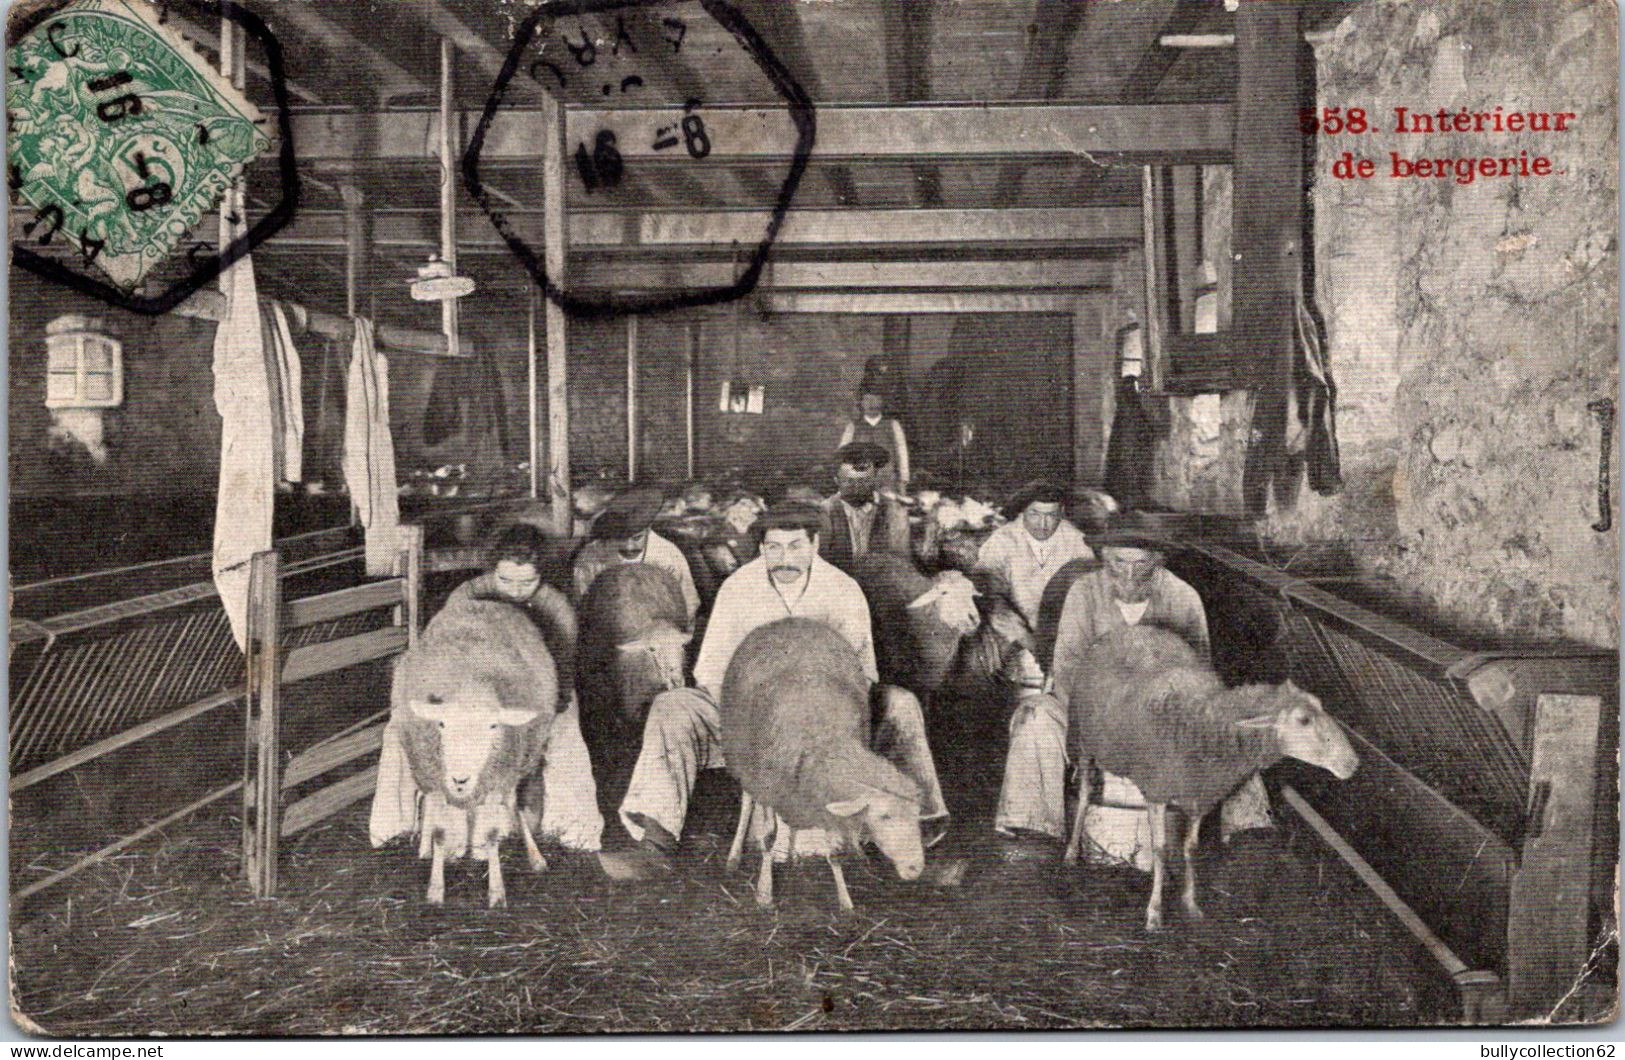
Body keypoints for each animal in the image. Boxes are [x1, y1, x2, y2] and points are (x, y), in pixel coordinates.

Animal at [388, 601, 559, 903]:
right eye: (442, 724)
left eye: (493, 726)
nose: (460, 779)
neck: (470, 684)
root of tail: (485, 601)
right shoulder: (436, 778)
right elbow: (440, 832)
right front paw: (436, 888)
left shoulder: (496, 779)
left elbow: (490, 833)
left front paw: (496, 891)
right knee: (427, 801)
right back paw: (426, 847)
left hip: (517, 766)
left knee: (514, 804)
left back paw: (534, 856)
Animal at [724, 621, 929, 910]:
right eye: (884, 816)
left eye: (916, 816)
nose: (915, 868)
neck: (826, 742)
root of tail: (789, 622)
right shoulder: (768, 785)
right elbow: (767, 836)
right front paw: (764, 893)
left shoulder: (825, 797)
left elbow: (834, 849)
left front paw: (845, 901)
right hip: (743, 759)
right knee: (746, 803)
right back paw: (734, 855)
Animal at [1066, 624, 1358, 929]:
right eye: (1303, 720)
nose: (1352, 762)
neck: (1204, 722)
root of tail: (1132, 628)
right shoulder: (1158, 790)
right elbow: (1159, 848)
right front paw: (1155, 912)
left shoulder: (1201, 795)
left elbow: (1191, 847)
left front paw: (1190, 903)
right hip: (1082, 739)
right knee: (1085, 793)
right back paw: (1072, 852)